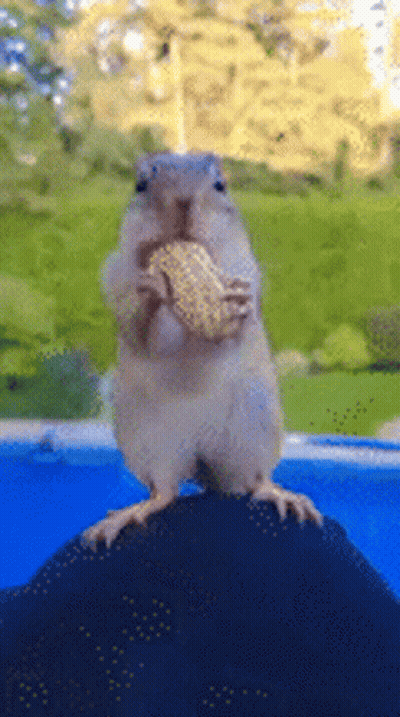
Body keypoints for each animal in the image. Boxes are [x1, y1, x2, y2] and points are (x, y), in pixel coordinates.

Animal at [82, 152, 323, 550]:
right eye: (140, 185)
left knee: (255, 480)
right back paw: (129, 514)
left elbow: (238, 326)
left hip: (253, 431)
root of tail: (202, 462)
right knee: (163, 492)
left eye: (220, 185)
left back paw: (281, 495)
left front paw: (238, 306)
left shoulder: (246, 270)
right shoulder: (116, 282)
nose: (182, 201)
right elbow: (143, 330)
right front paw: (153, 292)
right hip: (150, 442)